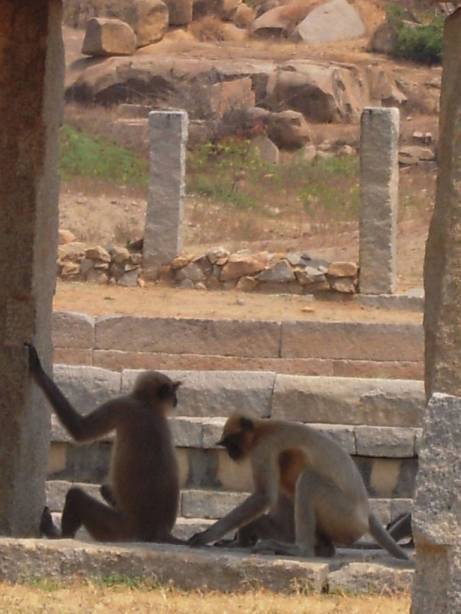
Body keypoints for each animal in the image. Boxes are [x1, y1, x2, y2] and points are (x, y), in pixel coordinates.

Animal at [26, 344, 182, 548]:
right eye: (173, 392)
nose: (176, 400)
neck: (146, 404)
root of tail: (159, 531)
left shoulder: (122, 405)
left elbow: (80, 430)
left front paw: (38, 372)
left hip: (121, 529)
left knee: (76, 496)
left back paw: (59, 535)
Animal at [189, 414, 408, 564]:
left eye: (231, 444)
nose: (230, 453)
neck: (264, 429)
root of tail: (366, 512)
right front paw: (239, 539)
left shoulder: (263, 448)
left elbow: (264, 497)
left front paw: (207, 535)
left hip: (345, 517)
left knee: (308, 479)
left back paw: (301, 550)